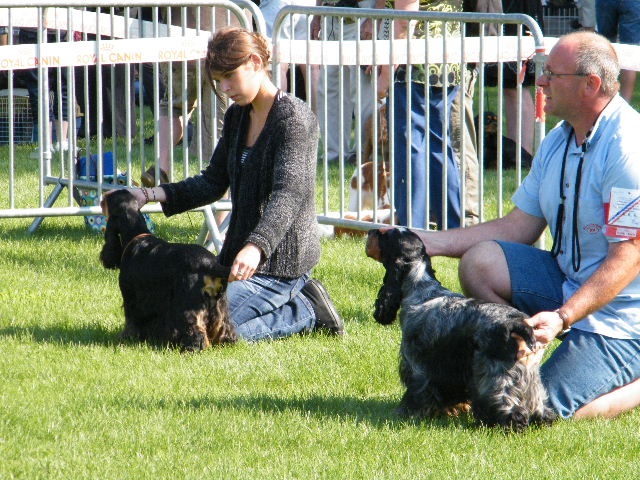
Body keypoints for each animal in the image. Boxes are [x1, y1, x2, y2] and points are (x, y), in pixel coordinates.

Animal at [100, 189, 237, 351]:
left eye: (107, 200)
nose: (103, 196)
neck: (136, 235)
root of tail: (210, 263)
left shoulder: (131, 298)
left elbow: (131, 321)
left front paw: (127, 338)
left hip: (187, 304)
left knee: (195, 328)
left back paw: (192, 348)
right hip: (219, 303)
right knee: (224, 324)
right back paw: (226, 342)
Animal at [365, 228, 556, 431]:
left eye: (384, 234)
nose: (370, 231)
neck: (421, 289)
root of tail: (518, 323)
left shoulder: (416, 364)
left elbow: (416, 393)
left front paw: (405, 414)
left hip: (495, 372)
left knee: (507, 405)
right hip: (530, 373)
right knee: (541, 406)